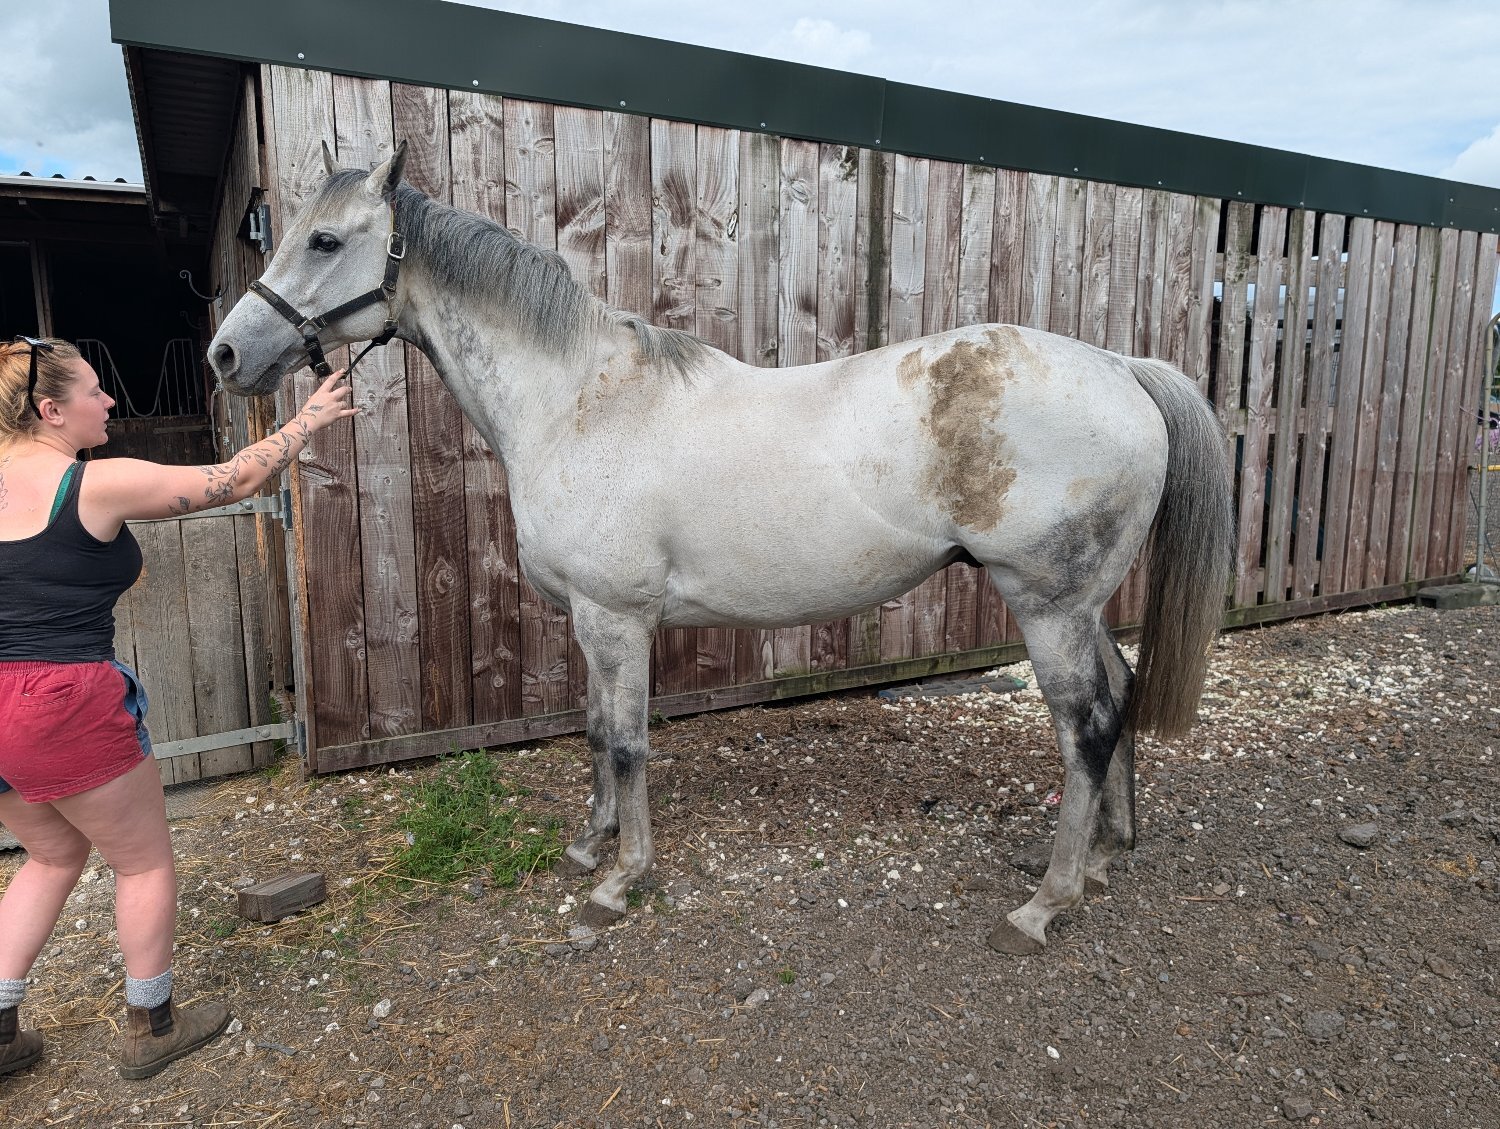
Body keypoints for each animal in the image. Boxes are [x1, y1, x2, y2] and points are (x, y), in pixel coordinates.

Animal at [207, 142, 1233, 955]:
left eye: (326, 241)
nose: (226, 354)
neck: (577, 402)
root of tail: (1122, 368)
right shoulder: (591, 620)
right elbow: (594, 731)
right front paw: (589, 845)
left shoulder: (618, 618)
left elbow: (627, 742)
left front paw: (619, 881)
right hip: (1079, 606)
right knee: (1118, 697)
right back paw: (1103, 857)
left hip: (1048, 606)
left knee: (1086, 725)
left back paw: (1046, 902)